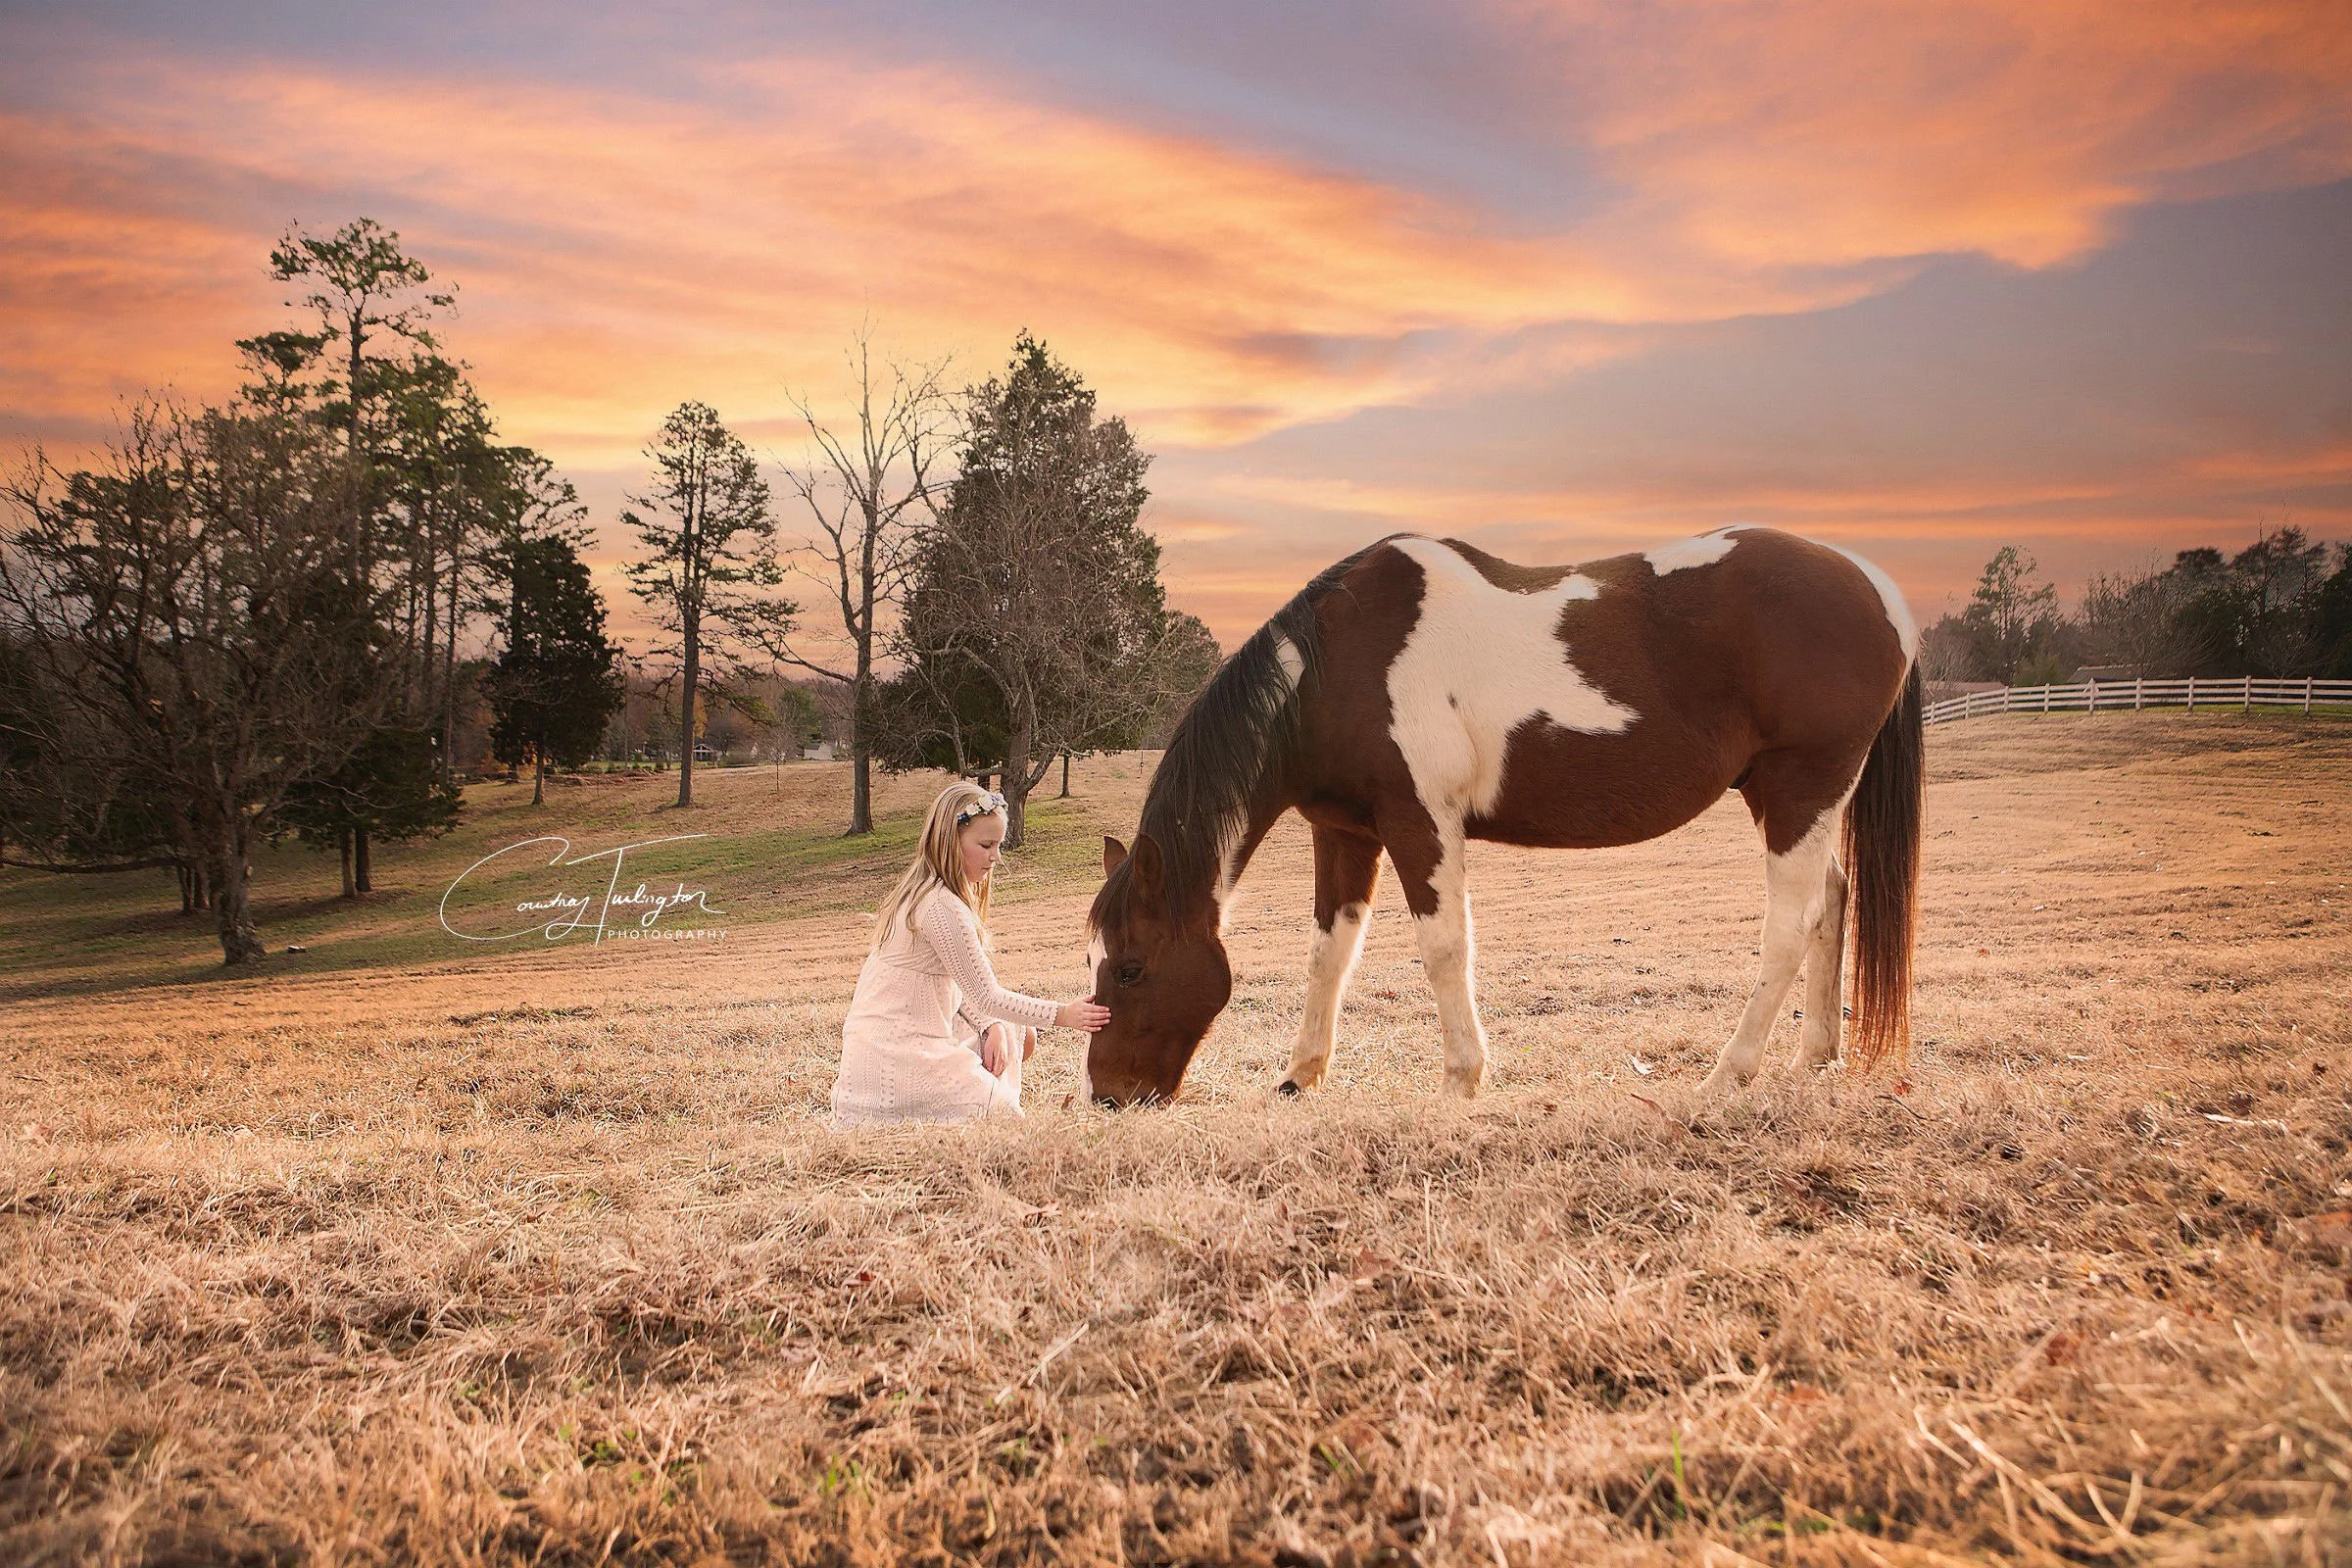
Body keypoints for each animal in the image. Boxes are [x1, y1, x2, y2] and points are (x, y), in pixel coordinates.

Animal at [1082, 525, 1923, 1108]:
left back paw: (1729, 1074)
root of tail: (1878, 587)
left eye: (1130, 967)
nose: (1109, 1097)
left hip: (1802, 787)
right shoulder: (1345, 832)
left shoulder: (1420, 822)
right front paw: (1300, 1077)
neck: (1337, 668)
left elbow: (1444, 949)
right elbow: (1330, 953)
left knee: (1790, 927)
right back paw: (1815, 1057)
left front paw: (1462, 1077)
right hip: (1785, 797)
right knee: (1832, 901)